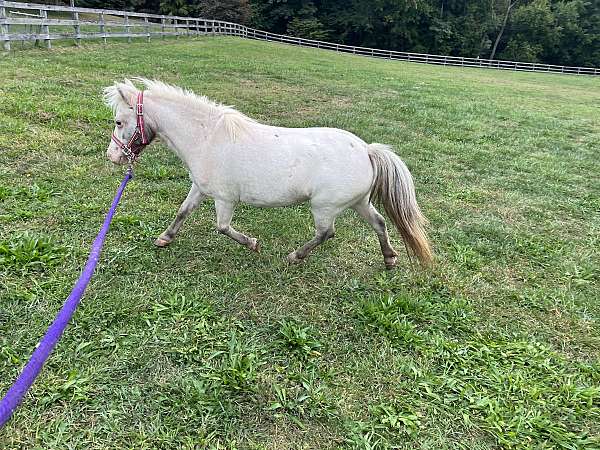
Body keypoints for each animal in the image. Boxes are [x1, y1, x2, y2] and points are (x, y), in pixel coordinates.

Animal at [104, 79, 432, 268]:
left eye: (119, 122)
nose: (113, 157)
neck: (207, 138)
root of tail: (366, 150)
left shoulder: (224, 199)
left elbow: (222, 228)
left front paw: (253, 244)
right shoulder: (199, 188)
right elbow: (183, 212)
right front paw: (164, 238)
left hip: (325, 207)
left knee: (326, 233)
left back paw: (295, 256)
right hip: (358, 202)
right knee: (379, 223)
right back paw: (389, 258)